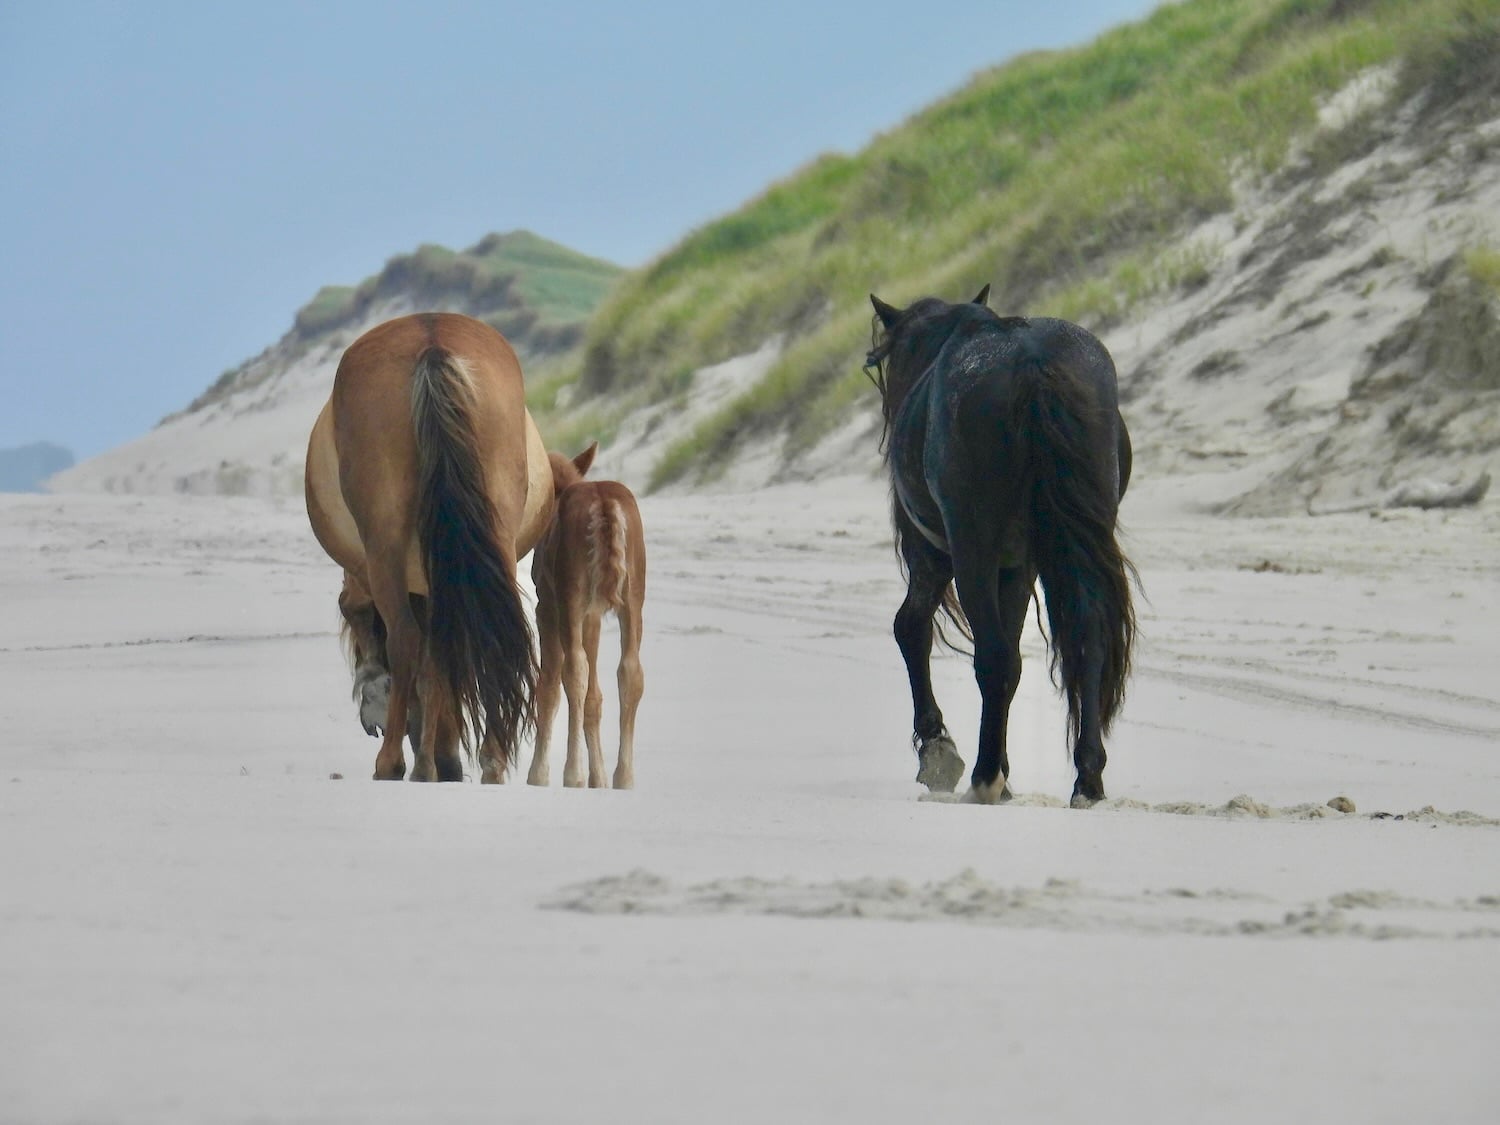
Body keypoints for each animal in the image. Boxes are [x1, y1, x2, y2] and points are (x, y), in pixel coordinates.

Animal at [304, 312, 554, 782]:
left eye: (352, 614)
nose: (370, 722)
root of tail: (431, 339)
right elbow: (442, 658)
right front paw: (442, 757)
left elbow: (421, 658)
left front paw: (427, 752)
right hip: (496, 540)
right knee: (496, 636)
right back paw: (490, 758)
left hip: (384, 548)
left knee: (405, 639)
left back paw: (392, 762)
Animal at [526, 442, 647, 790]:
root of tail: (606, 505)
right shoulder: (592, 614)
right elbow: (595, 697)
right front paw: (600, 776)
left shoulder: (547, 606)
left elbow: (549, 686)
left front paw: (539, 774)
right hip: (633, 597)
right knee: (630, 670)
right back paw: (624, 776)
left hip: (570, 595)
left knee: (574, 669)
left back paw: (572, 773)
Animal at [864, 285, 1137, 807]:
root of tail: (1033, 362)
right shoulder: (1019, 566)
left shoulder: (934, 556)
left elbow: (910, 627)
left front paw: (939, 751)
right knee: (1085, 642)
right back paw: (1086, 779)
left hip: (972, 546)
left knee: (992, 657)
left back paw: (985, 776)